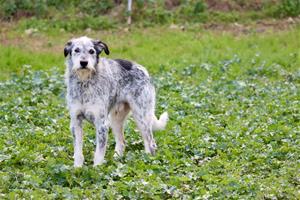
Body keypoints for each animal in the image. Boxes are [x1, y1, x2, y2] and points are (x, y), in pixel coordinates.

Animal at [63, 36, 169, 167]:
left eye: (91, 51)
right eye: (76, 50)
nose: (83, 63)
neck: (84, 83)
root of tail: (143, 69)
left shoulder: (102, 124)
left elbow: (98, 154)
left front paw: (96, 169)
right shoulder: (76, 122)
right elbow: (78, 151)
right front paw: (77, 168)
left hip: (141, 117)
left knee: (151, 143)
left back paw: (148, 160)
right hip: (116, 119)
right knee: (122, 142)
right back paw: (117, 160)